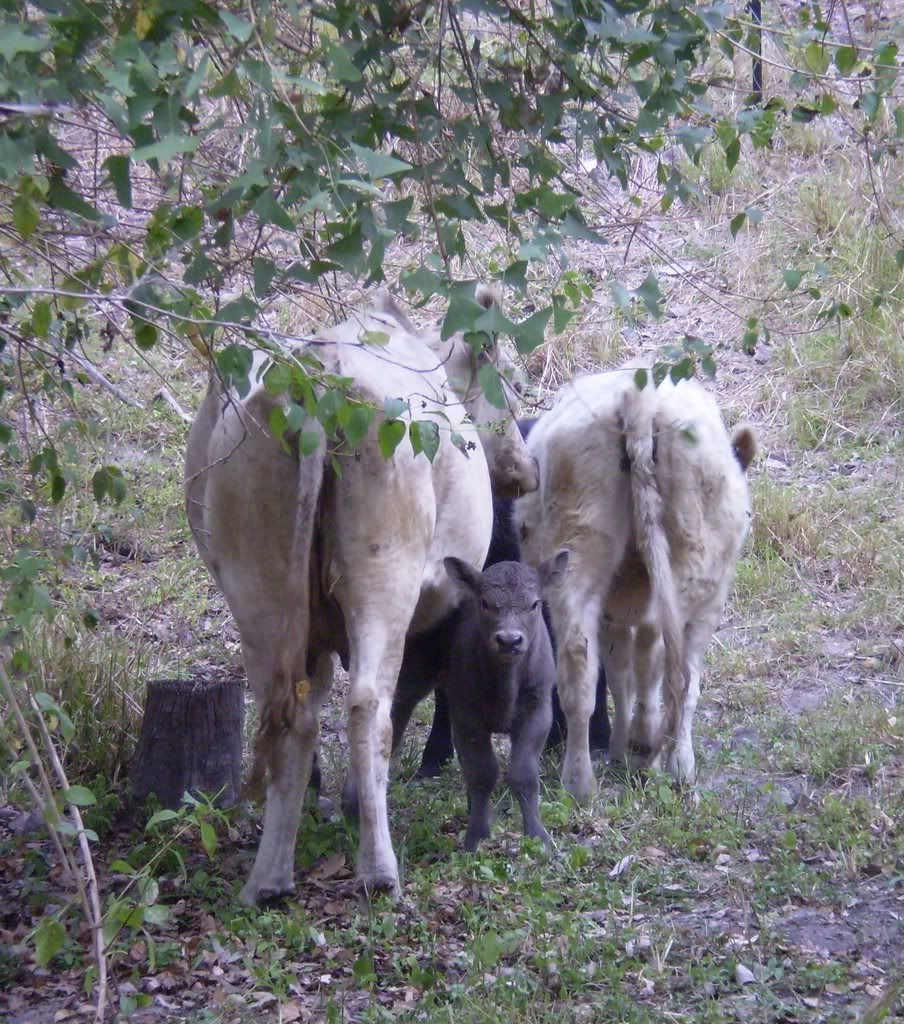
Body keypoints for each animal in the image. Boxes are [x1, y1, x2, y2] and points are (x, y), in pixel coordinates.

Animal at [185, 285, 538, 905]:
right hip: (384, 577)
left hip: (257, 590)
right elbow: (414, 696)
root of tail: (312, 382)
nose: (525, 468)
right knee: (368, 706)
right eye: (512, 383)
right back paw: (379, 869)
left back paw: (270, 877)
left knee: (291, 716)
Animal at [388, 553, 568, 851]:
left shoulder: (538, 709)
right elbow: (483, 774)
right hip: (415, 669)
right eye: (484, 603)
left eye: (534, 603)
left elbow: (523, 774)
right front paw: (476, 837)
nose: (509, 640)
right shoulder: (468, 717)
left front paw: (538, 837)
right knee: (397, 712)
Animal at [514, 368, 757, 801]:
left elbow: (618, 672)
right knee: (675, 668)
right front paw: (643, 750)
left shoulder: (613, 613)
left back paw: (580, 781)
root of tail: (638, 396)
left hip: (575, 558)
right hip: (694, 572)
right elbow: (654, 672)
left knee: (578, 664)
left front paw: (620, 747)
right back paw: (665, 758)